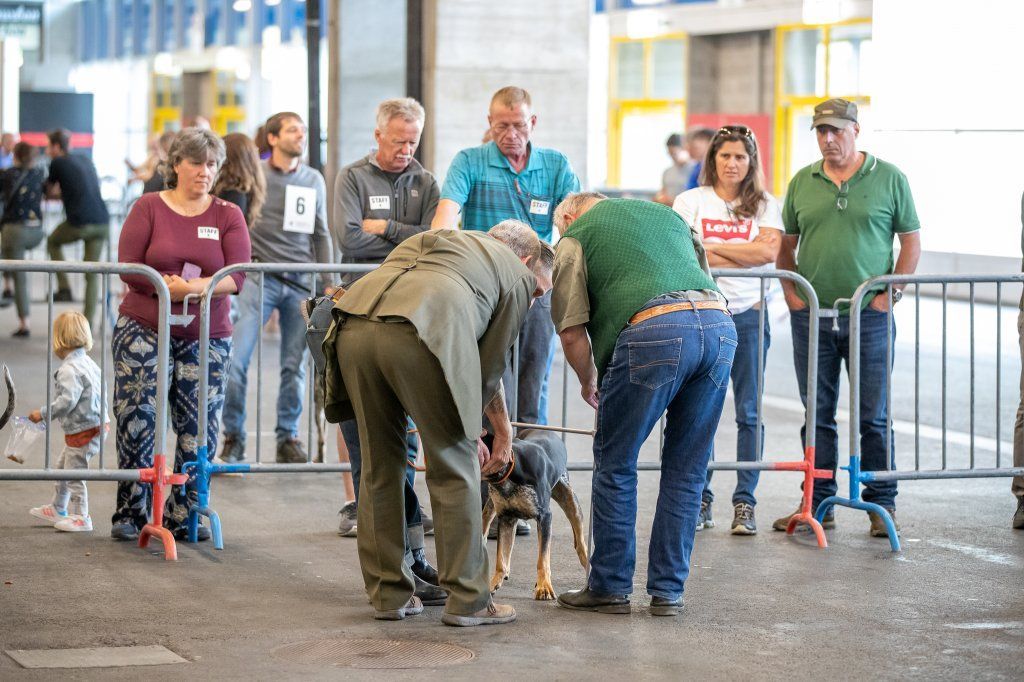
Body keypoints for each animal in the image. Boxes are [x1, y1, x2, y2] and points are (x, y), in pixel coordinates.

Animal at [481, 428, 589, 598]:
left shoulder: (544, 517)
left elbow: (542, 558)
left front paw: (544, 586)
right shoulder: (506, 518)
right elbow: (501, 558)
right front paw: (493, 583)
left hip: (570, 501)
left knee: (580, 543)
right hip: (492, 508)